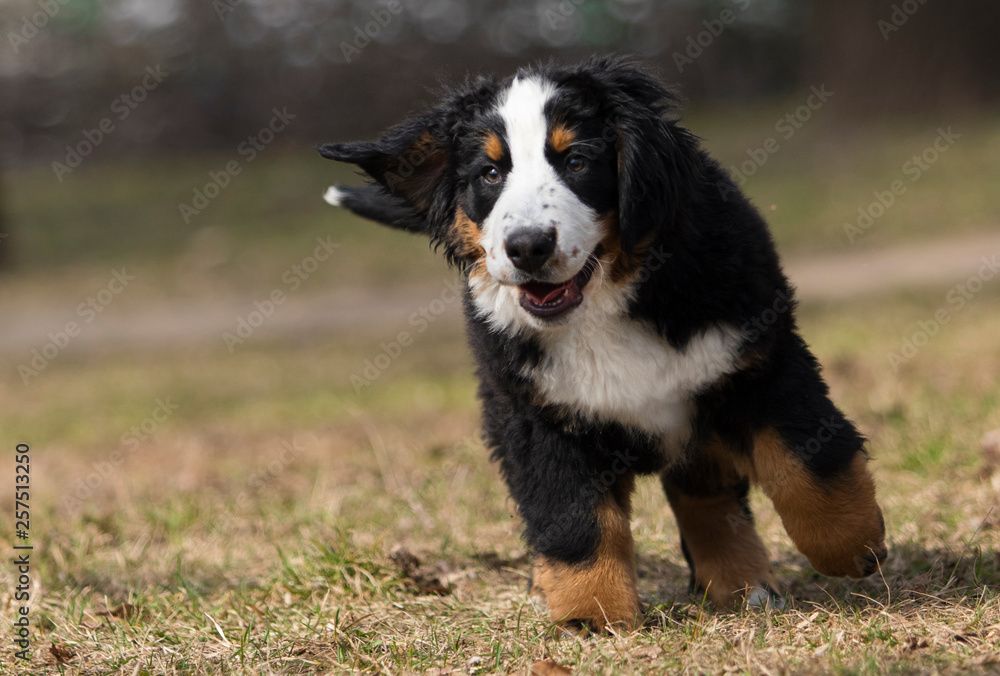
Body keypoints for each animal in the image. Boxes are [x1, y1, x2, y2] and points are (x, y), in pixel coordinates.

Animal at [318, 56, 884, 628]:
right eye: (491, 173)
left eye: (576, 162)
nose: (527, 246)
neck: (602, 305)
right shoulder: (537, 417)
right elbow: (575, 519)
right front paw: (592, 615)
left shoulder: (760, 359)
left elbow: (806, 464)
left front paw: (853, 544)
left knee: (707, 495)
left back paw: (745, 586)